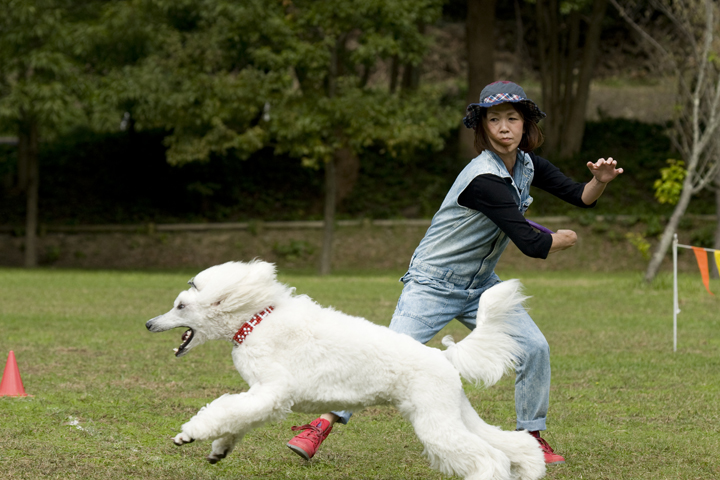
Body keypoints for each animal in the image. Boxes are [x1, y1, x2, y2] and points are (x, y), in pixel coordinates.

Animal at [145, 260, 546, 480]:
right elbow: (236, 420)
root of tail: (442, 358)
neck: (256, 320)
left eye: (180, 306)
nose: (149, 324)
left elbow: (223, 410)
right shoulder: (263, 398)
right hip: (452, 411)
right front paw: (220, 449)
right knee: (514, 445)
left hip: (435, 422)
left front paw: (188, 435)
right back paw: (531, 468)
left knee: (490, 458)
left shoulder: (271, 392)